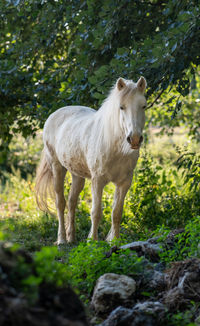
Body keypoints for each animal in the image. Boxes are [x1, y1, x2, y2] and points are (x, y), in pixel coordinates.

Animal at [35, 77, 147, 244]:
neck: (116, 147)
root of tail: (54, 115)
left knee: (71, 202)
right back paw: (62, 239)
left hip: (77, 175)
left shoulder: (125, 182)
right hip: (57, 168)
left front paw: (114, 241)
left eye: (143, 106)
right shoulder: (97, 180)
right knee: (60, 203)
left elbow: (117, 212)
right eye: (121, 107)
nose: (134, 139)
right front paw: (92, 241)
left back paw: (72, 237)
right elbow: (96, 212)